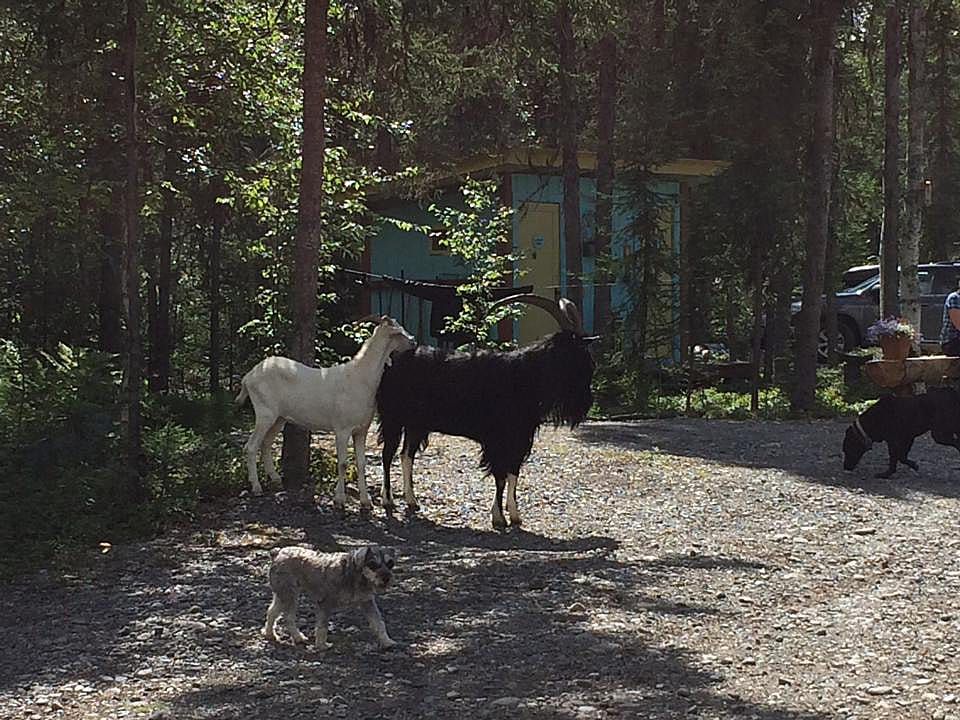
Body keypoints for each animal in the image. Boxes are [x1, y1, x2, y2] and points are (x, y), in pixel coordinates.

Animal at [236, 316, 415, 510]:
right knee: (251, 446)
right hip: (264, 413)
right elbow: (343, 463)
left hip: (279, 417)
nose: (413, 341)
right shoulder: (342, 429)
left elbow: (361, 464)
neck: (359, 378)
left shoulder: (361, 430)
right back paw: (256, 487)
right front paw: (339, 499)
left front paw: (366, 501)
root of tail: (248, 377)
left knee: (266, 444)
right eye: (398, 332)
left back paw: (276, 480)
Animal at [376, 295, 595, 528]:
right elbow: (500, 476)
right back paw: (388, 500)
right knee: (387, 455)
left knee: (406, 455)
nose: (587, 401)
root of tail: (392, 360)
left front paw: (515, 515)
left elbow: (513, 474)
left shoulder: (519, 439)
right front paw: (498, 517)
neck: (524, 376)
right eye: (574, 357)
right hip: (392, 418)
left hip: (416, 425)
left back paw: (412, 501)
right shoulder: (497, 440)